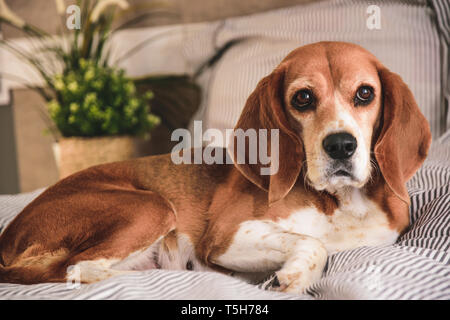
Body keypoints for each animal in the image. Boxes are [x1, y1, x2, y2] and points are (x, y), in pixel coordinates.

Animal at [0, 41, 428, 294]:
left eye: (365, 93)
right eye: (303, 98)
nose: (340, 145)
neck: (338, 202)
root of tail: (9, 236)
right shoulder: (227, 236)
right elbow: (313, 242)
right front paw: (293, 277)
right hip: (151, 207)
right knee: (76, 269)